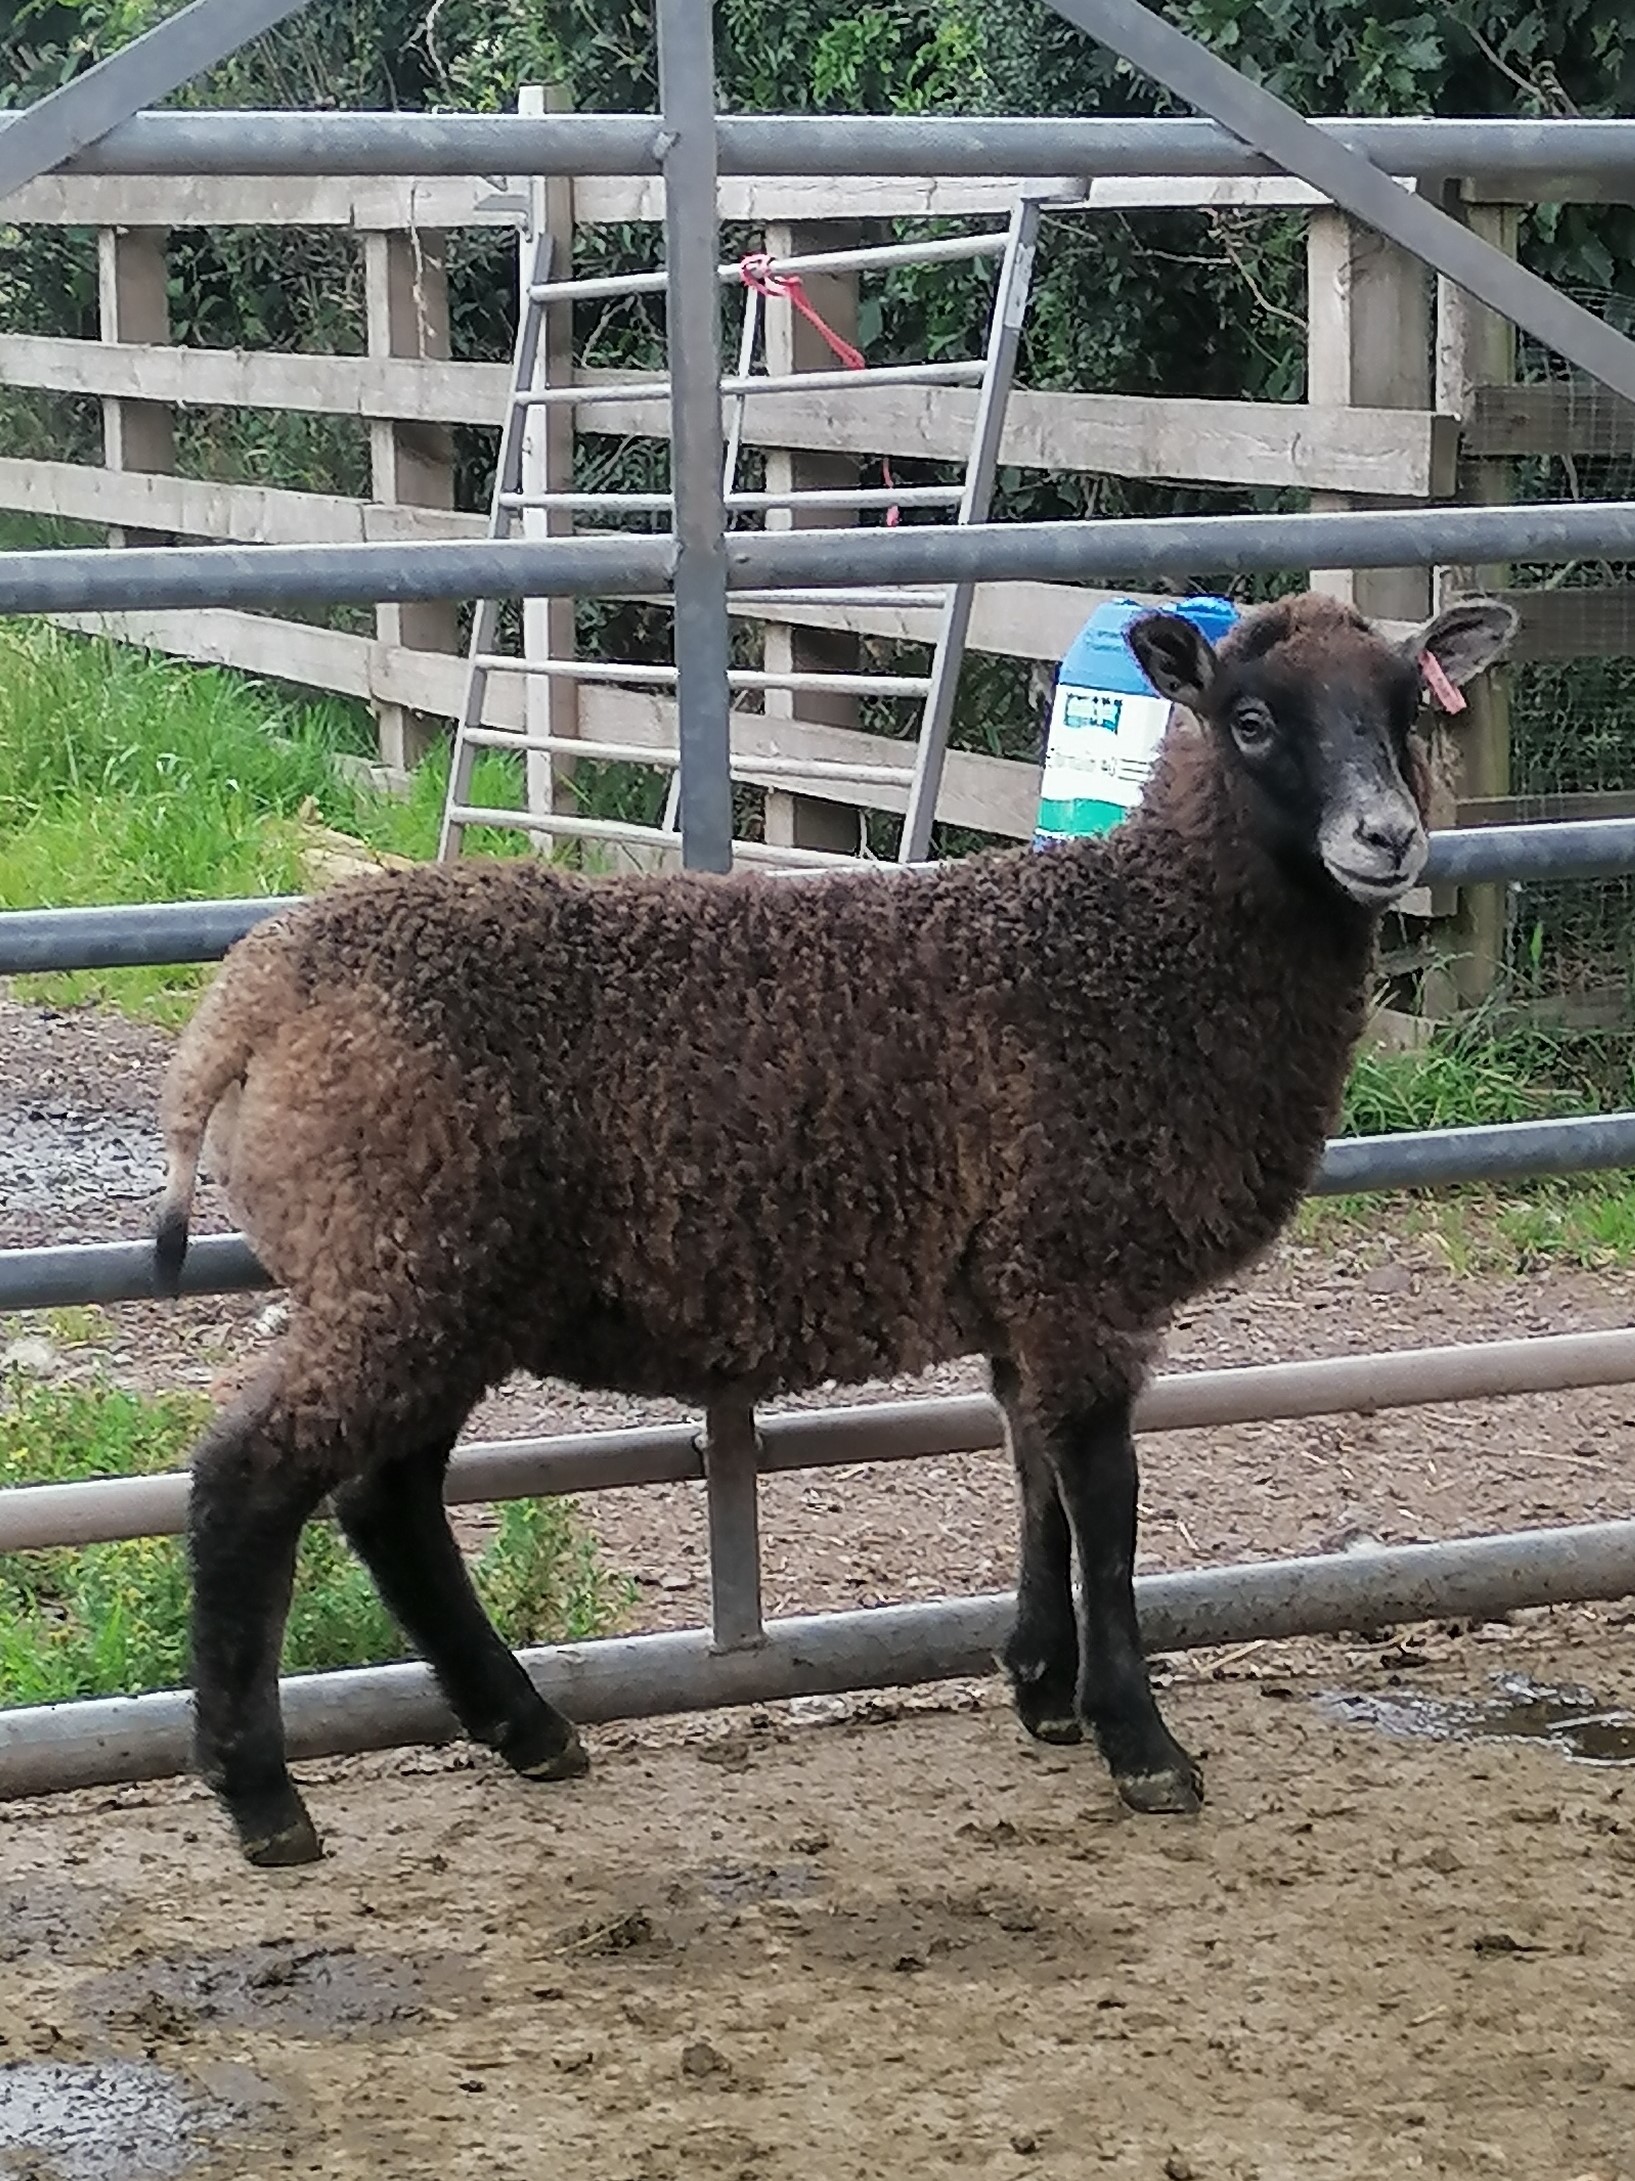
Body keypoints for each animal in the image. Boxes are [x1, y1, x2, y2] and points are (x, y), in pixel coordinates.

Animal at [153, 588, 1526, 1866]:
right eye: (1250, 720)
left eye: (1405, 711)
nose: (1389, 839)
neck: (1144, 949)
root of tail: (248, 1005)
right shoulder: (1079, 1267)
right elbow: (1106, 1501)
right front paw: (1140, 1743)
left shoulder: (1021, 1280)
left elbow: (1035, 1474)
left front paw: (1042, 1687)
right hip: (406, 1267)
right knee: (253, 1477)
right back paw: (264, 1798)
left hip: (435, 1278)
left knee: (388, 1496)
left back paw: (527, 1730)